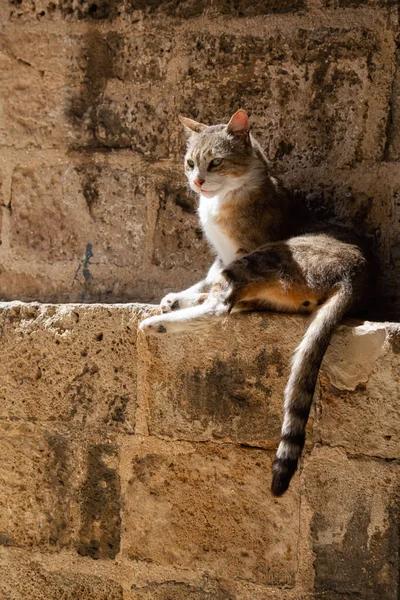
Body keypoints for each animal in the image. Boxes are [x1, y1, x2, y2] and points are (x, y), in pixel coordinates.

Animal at [139, 111, 374, 496]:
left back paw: (157, 325)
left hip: (269, 255)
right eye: (189, 163)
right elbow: (210, 276)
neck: (221, 199)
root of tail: (356, 277)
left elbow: (218, 288)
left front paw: (177, 304)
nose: (197, 181)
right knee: (233, 301)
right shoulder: (221, 257)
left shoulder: (241, 250)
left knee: (221, 307)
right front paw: (178, 296)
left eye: (215, 162)